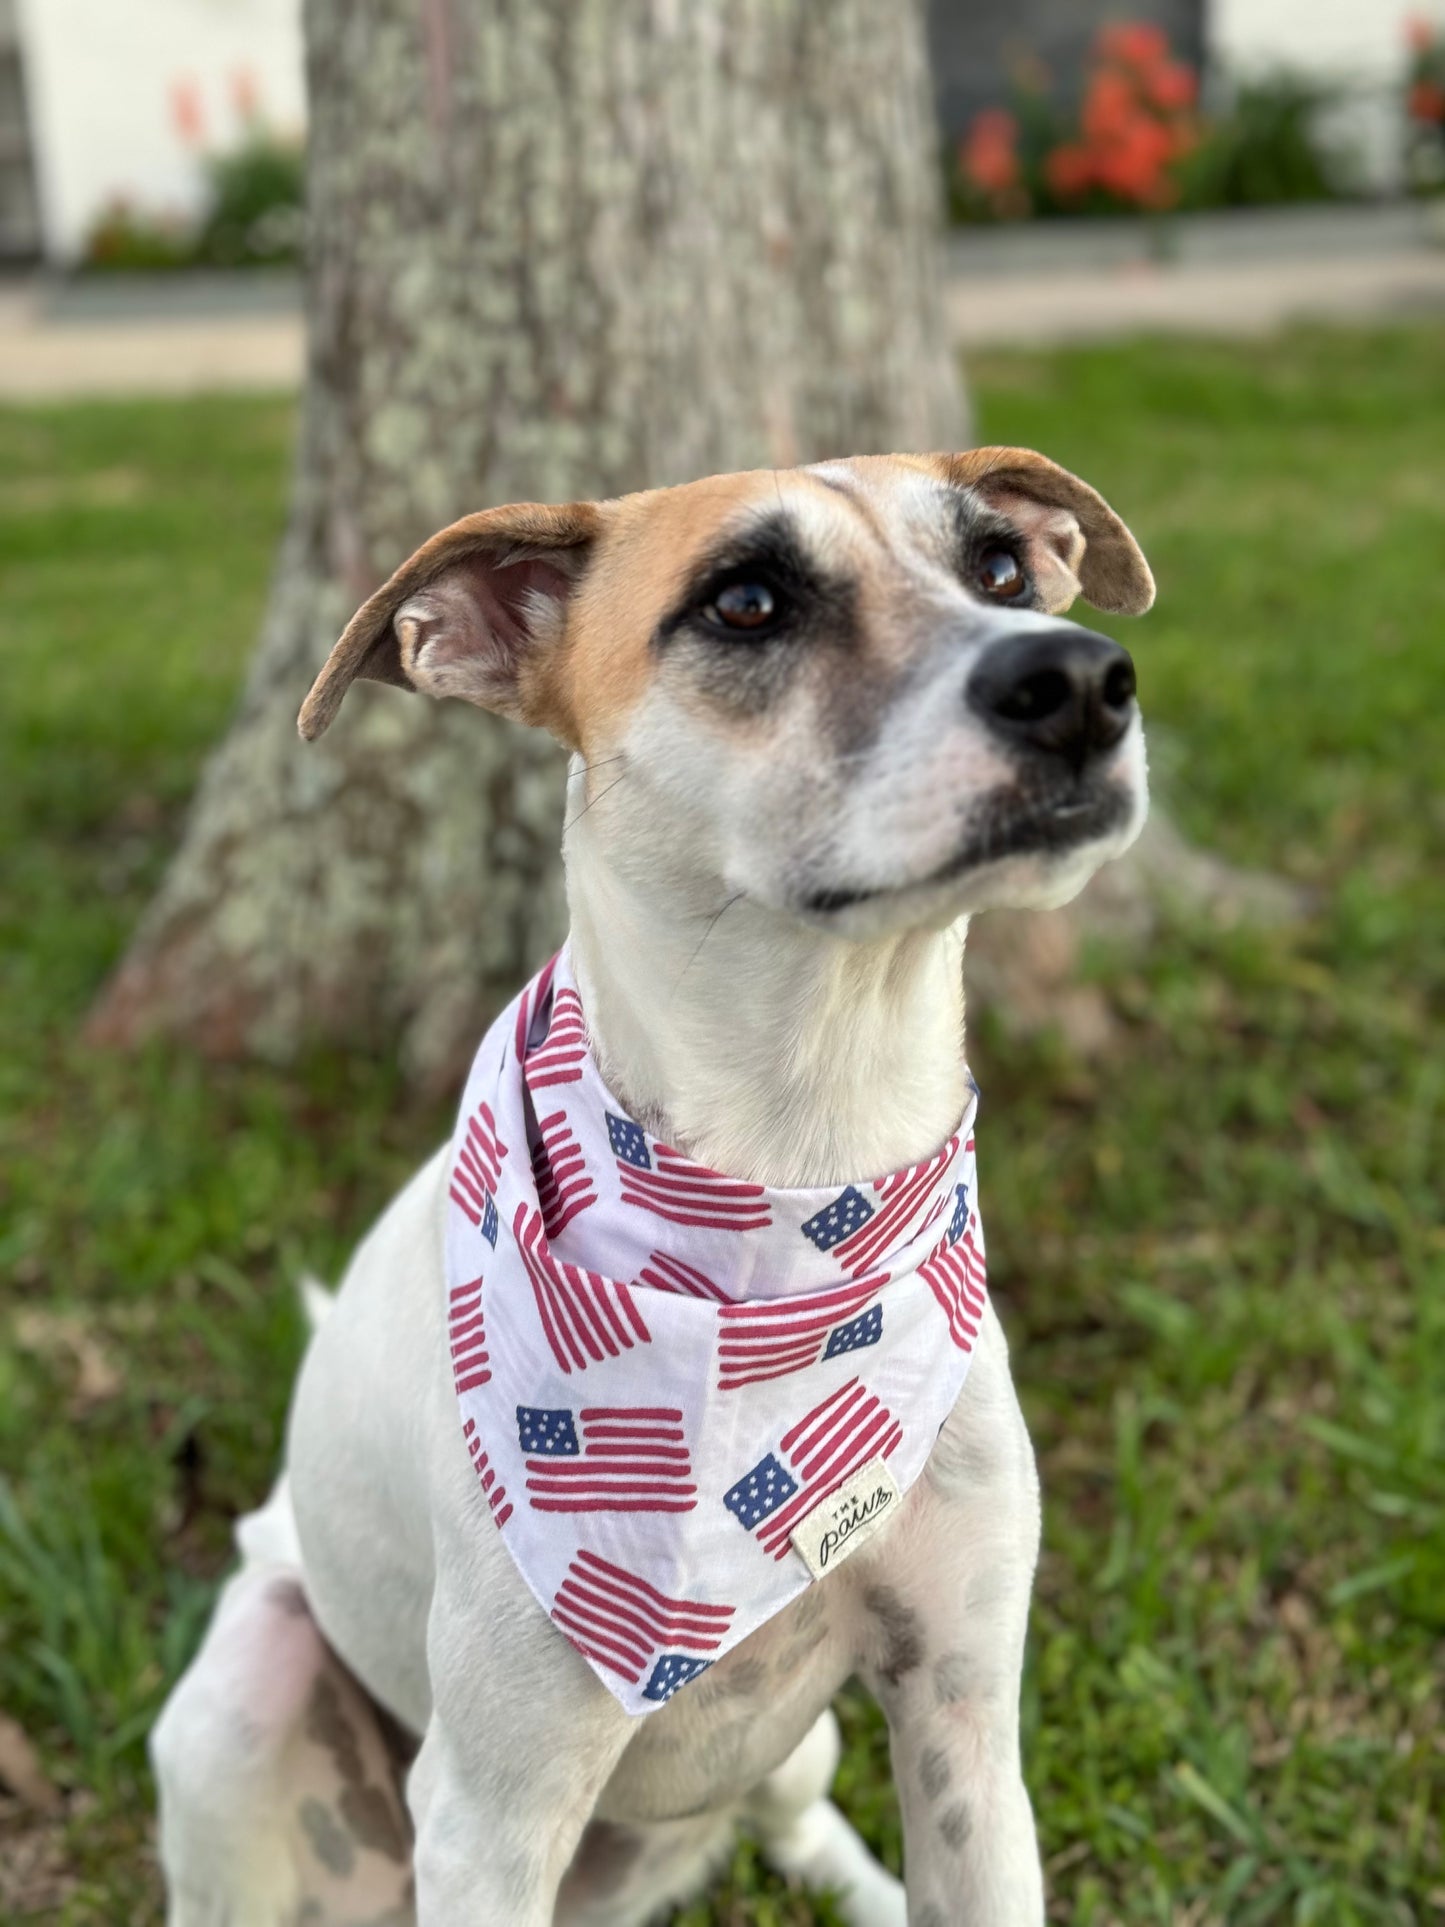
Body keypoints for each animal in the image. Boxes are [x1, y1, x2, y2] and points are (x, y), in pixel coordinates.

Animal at [153, 443, 1163, 1919]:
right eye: (745, 601)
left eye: (1000, 567)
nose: (1081, 680)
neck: (799, 1181)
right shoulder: (491, 1815)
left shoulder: (964, 1718)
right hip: (242, 1702)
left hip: (809, 1748)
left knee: (802, 1829)